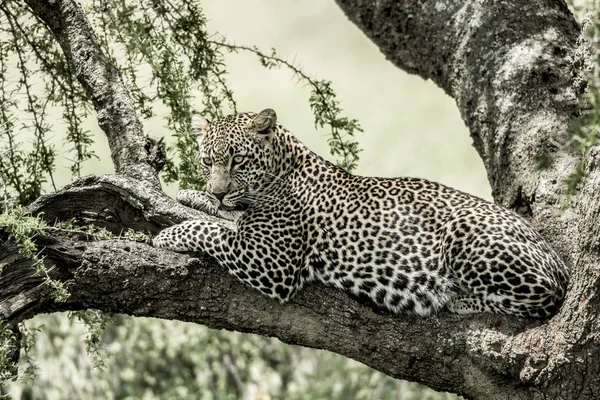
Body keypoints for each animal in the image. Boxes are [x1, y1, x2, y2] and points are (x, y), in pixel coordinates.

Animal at [152, 108, 568, 318]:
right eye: (207, 161)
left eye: (238, 160)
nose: (218, 190)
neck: (279, 170)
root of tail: (554, 253)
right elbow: (225, 218)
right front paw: (194, 195)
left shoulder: (271, 261)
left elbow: (211, 231)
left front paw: (168, 234)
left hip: (467, 236)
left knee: (546, 296)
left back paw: (459, 299)